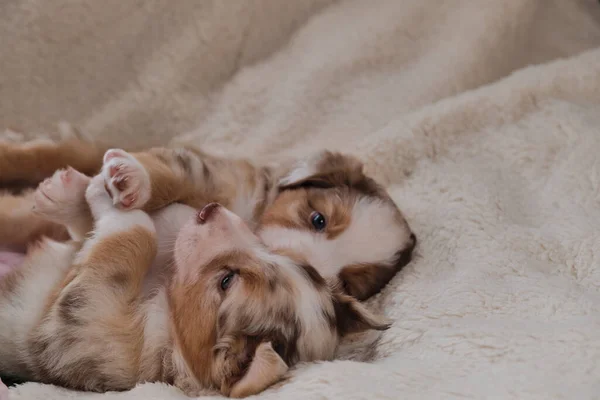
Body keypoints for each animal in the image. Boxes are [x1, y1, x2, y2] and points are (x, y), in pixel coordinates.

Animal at [0, 166, 390, 396]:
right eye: (274, 253)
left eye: (226, 282)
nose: (210, 208)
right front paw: (76, 191)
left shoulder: (84, 323)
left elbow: (136, 232)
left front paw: (100, 191)